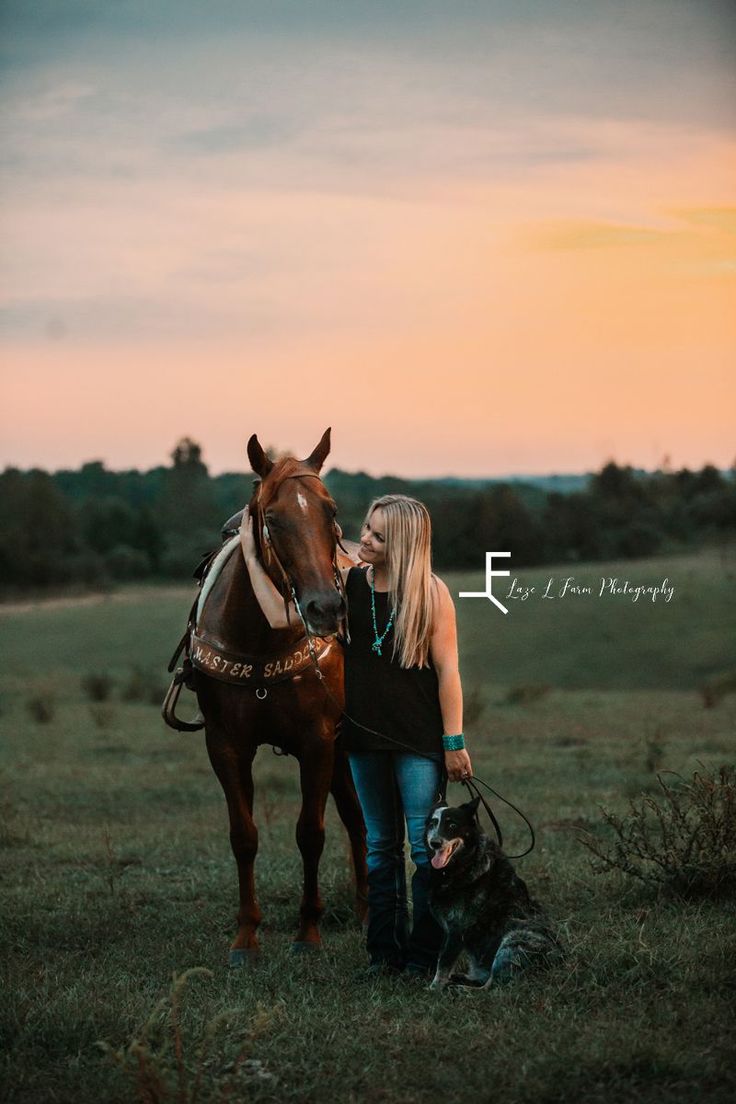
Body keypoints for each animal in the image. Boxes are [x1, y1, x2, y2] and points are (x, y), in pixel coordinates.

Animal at [193, 426, 368, 962]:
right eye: (272, 518)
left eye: (330, 510)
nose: (326, 607)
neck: (260, 640)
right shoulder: (225, 745)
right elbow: (243, 835)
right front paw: (246, 936)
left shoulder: (317, 742)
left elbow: (310, 834)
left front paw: (308, 932)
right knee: (358, 819)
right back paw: (364, 908)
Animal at [423, 794, 560, 993]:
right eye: (433, 824)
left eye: (452, 825)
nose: (435, 843)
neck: (466, 863)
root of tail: (561, 962)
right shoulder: (449, 931)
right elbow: (442, 959)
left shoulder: (457, 929)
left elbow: (444, 963)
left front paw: (434, 989)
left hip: (513, 941)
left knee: (492, 986)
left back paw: (461, 989)